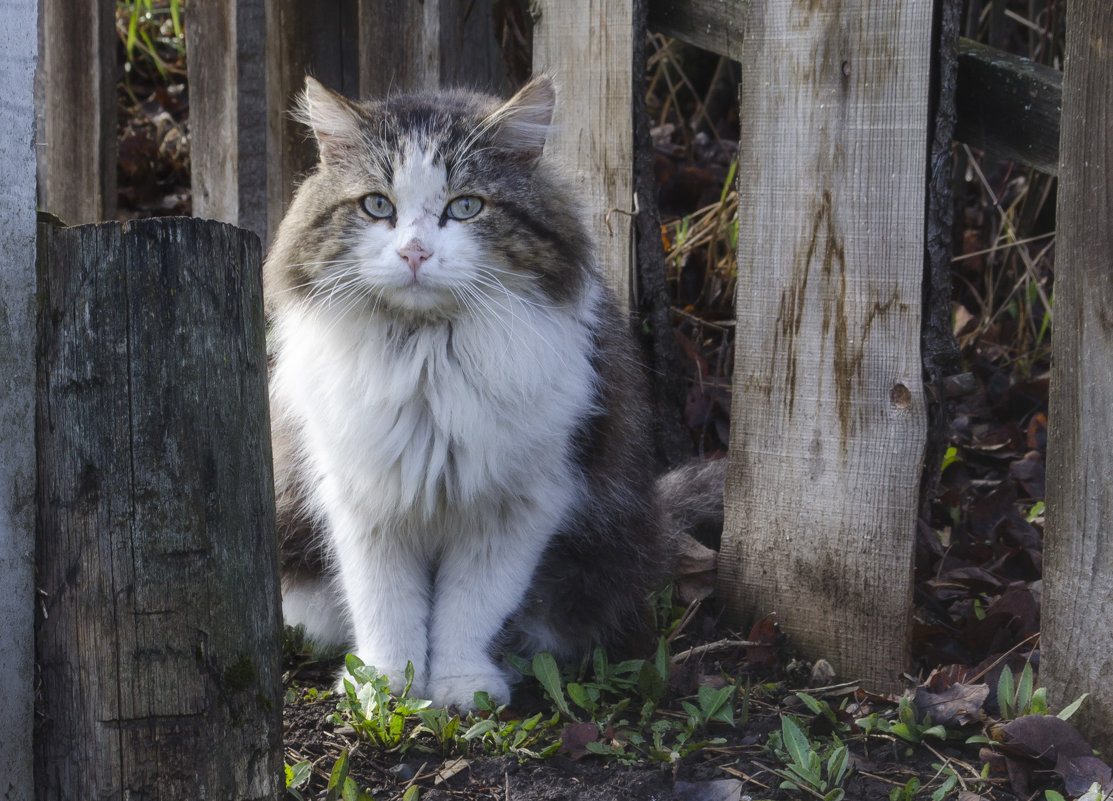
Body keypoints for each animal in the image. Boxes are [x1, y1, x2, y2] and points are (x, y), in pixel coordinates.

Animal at [266, 78, 725, 712]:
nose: (414, 252)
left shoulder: (517, 504)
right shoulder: (365, 500)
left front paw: (459, 687)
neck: (428, 362)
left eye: (466, 207)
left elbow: (469, 609)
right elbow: (385, 604)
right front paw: (387, 687)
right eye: (377, 206)